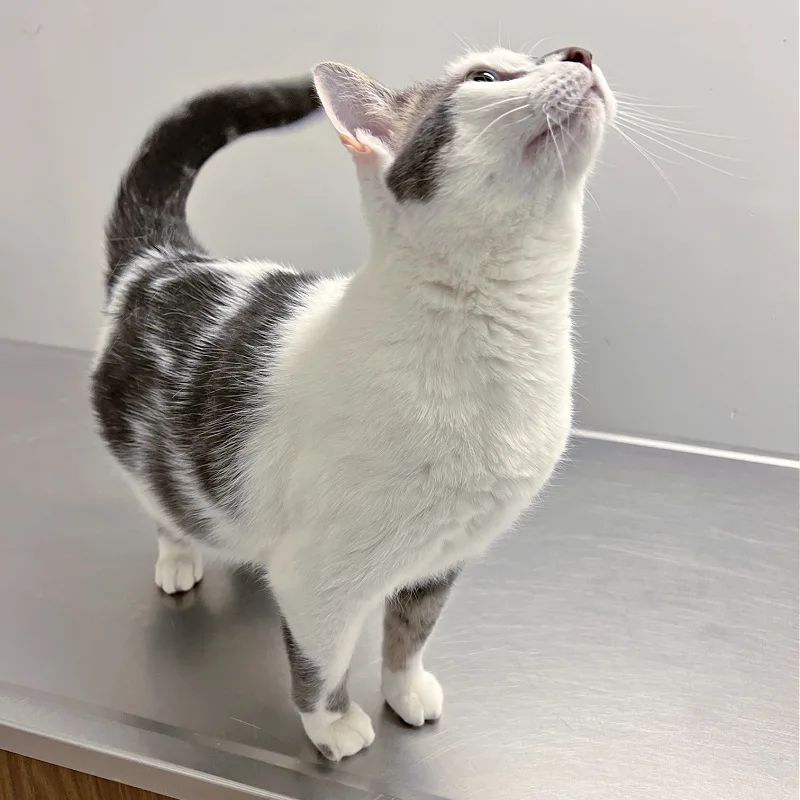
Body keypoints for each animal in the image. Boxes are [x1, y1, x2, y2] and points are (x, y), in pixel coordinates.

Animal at [94, 47, 616, 760]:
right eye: (483, 77)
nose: (579, 51)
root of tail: (160, 259)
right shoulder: (320, 581)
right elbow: (322, 662)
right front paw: (333, 723)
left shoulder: (444, 557)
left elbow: (412, 632)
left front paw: (405, 688)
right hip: (154, 461)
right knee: (168, 509)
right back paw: (179, 558)